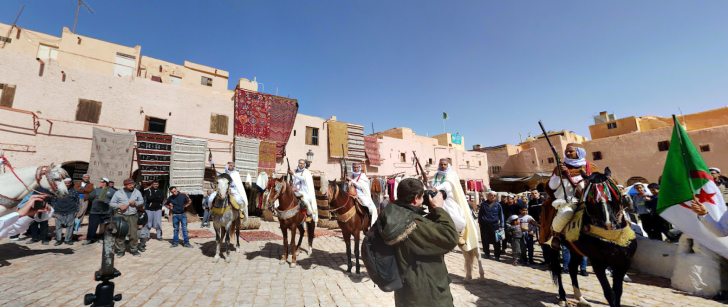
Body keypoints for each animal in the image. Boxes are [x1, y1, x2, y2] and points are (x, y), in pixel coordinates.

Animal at [544, 168, 640, 307]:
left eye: (612, 193)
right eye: (591, 200)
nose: (608, 224)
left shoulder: (623, 263)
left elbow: (618, 293)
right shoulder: (598, 263)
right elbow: (610, 294)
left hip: (575, 249)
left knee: (572, 268)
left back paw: (580, 298)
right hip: (553, 247)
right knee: (557, 269)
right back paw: (562, 298)